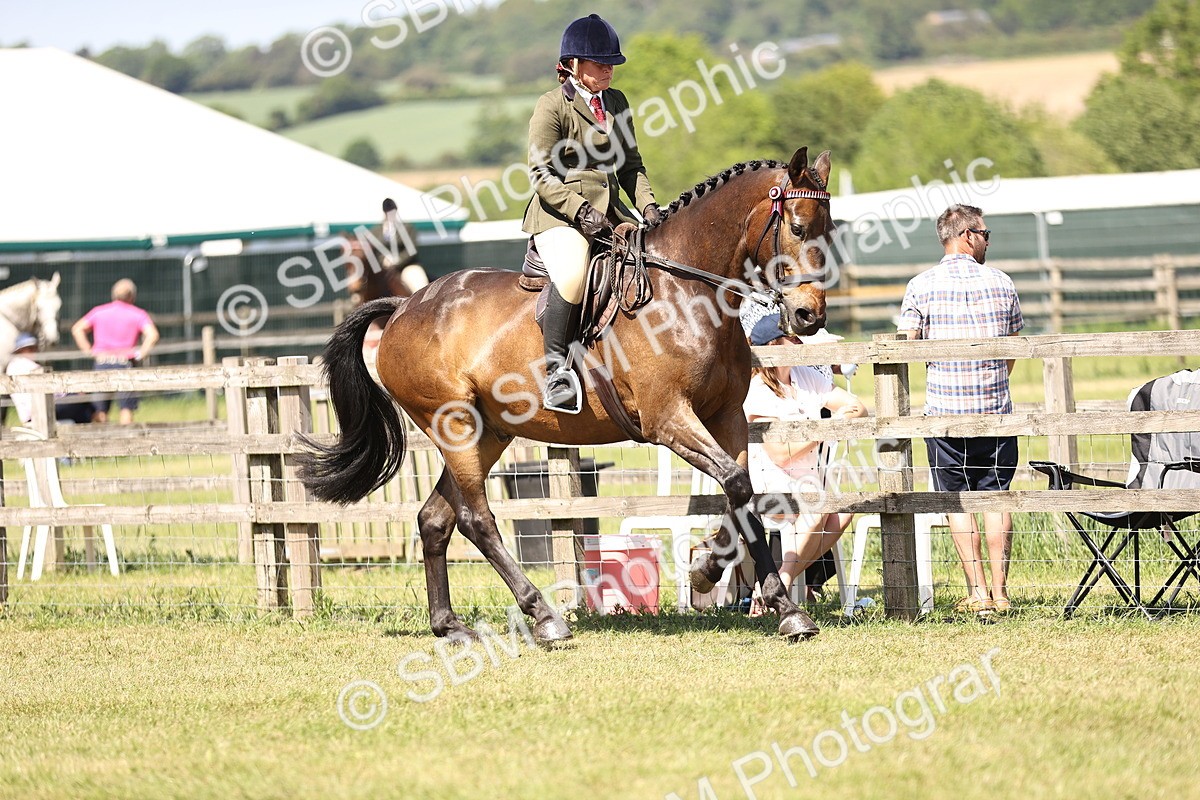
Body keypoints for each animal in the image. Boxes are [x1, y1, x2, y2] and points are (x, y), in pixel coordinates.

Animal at [299, 147, 834, 643]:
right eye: (797, 228)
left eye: (828, 229)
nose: (810, 316)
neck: (685, 292)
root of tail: (404, 306)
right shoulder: (668, 419)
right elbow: (737, 485)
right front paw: (751, 590)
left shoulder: (726, 418)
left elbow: (743, 491)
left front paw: (753, 593)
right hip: (453, 427)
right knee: (476, 519)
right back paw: (544, 617)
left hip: (487, 434)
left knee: (435, 518)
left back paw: (450, 625)